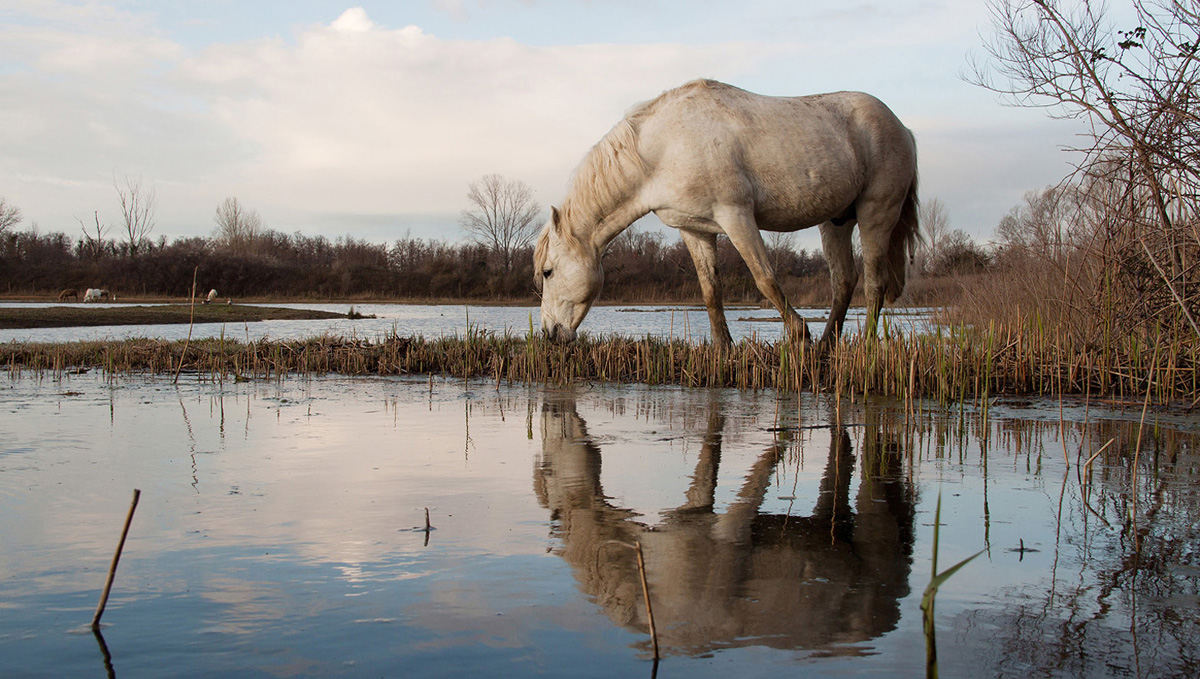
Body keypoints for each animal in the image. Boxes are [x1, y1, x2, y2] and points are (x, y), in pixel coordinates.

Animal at [534, 79, 919, 348]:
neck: (663, 148)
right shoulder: (696, 229)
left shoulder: (736, 216)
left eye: (548, 272)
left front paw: (798, 334)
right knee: (844, 281)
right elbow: (710, 290)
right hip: (836, 221)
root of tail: (902, 127)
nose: (550, 334)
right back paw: (827, 344)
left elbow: (765, 278)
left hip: (876, 213)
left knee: (874, 282)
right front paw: (723, 347)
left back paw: (863, 345)